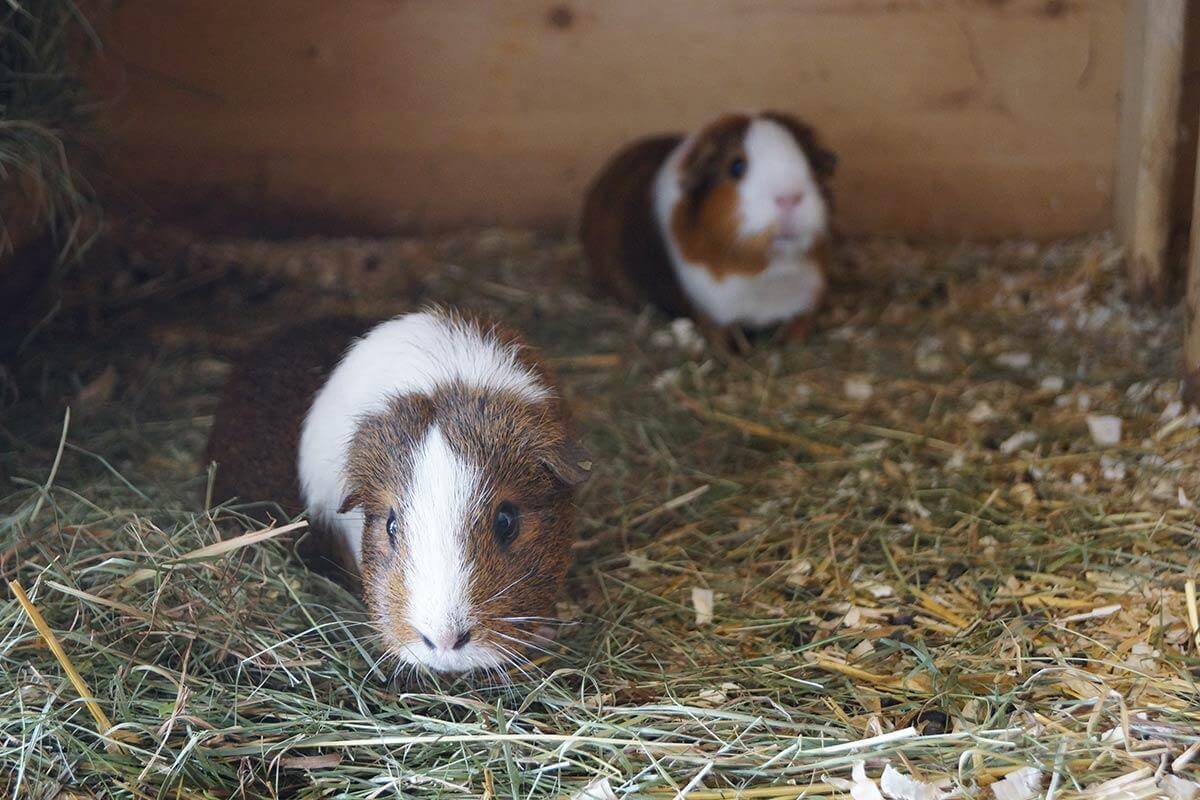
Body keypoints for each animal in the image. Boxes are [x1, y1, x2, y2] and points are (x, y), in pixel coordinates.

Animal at [581, 111, 837, 347]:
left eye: (809, 163)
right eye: (736, 166)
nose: (789, 197)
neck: (768, 272)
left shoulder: (808, 300)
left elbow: (798, 327)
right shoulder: (709, 310)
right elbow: (719, 337)